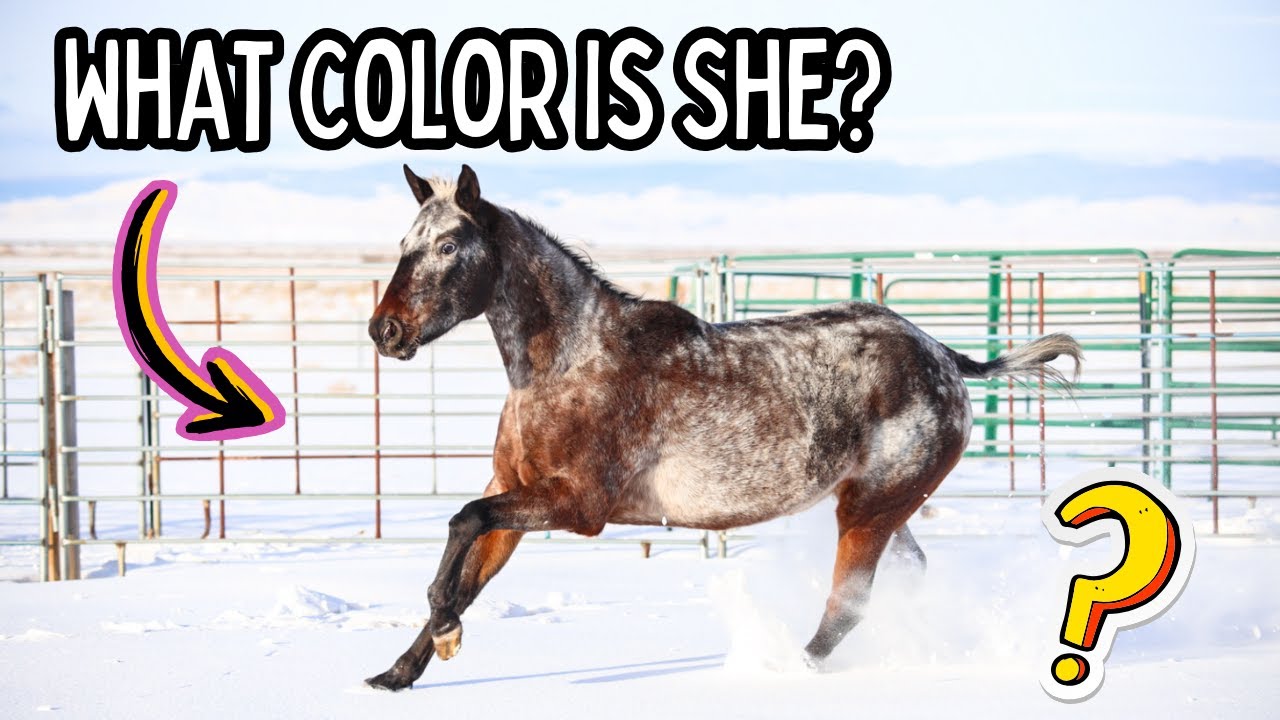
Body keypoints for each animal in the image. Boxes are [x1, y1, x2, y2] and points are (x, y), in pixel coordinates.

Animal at [364, 164, 1082, 691]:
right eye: (404, 246)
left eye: (448, 246)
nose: (384, 331)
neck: (569, 361)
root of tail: (946, 358)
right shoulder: (513, 492)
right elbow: (468, 567)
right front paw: (398, 672)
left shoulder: (578, 505)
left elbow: (461, 524)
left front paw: (445, 631)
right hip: (884, 508)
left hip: (870, 510)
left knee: (848, 603)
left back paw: (783, 667)